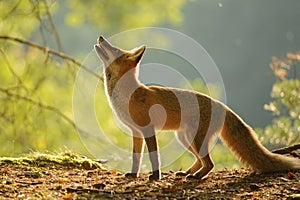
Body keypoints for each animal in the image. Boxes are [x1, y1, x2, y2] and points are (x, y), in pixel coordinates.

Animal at [94, 35, 300, 180]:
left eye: (114, 49)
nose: (101, 37)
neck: (128, 95)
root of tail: (222, 105)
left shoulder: (148, 129)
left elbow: (154, 157)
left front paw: (155, 177)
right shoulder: (136, 132)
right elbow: (136, 158)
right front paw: (134, 175)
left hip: (194, 139)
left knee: (210, 163)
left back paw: (197, 177)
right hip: (185, 138)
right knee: (201, 160)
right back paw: (188, 173)